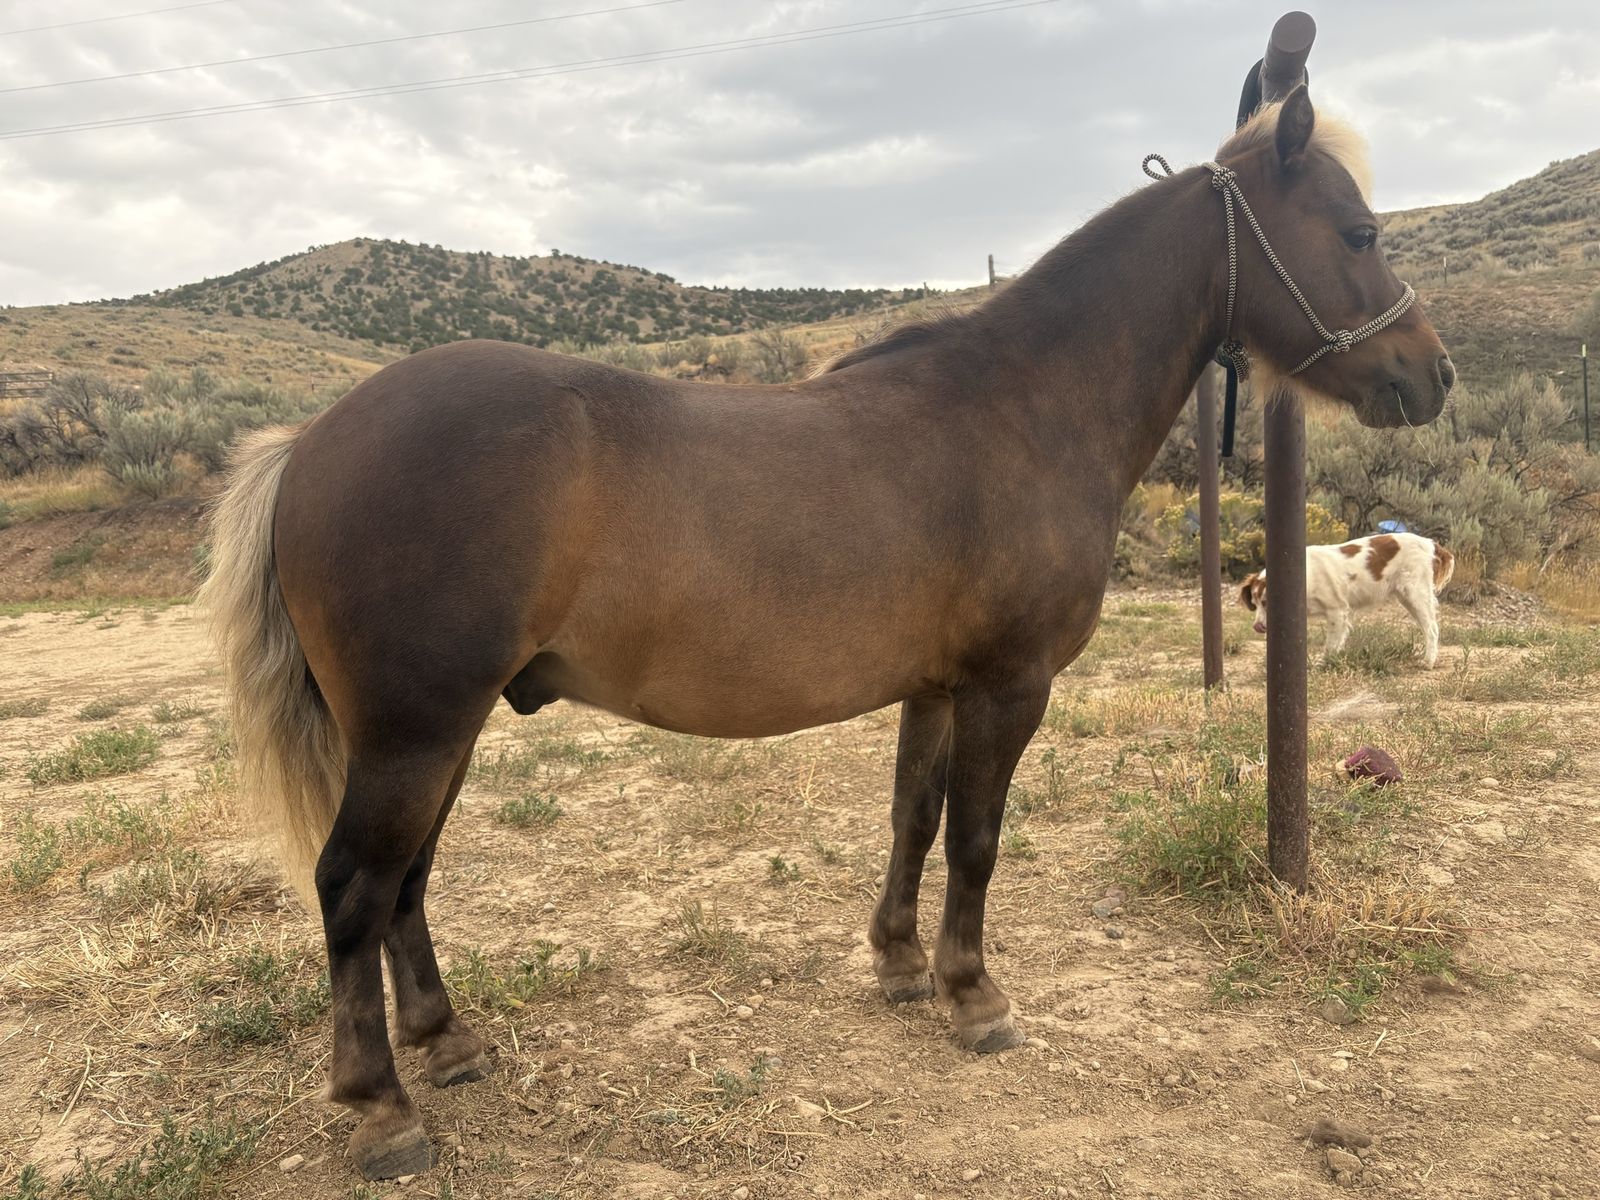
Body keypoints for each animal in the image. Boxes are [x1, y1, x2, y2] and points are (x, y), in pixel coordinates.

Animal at [201, 86, 1453, 1179]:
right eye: (1357, 230)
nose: (1432, 374)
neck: (1023, 407)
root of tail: (311, 441)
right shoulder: (1009, 686)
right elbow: (975, 841)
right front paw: (973, 997)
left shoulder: (937, 687)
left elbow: (913, 820)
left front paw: (899, 967)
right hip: (416, 733)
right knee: (353, 888)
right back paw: (383, 1110)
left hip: (437, 736)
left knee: (404, 886)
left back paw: (449, 1045)